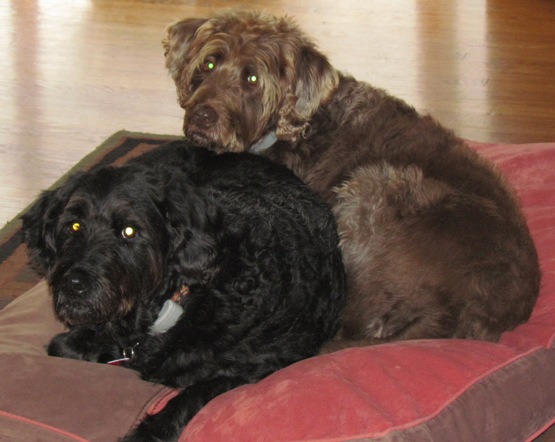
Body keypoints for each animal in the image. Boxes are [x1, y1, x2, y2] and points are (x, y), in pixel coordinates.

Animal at [22, 142, 348, 442]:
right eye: (74, 225)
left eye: (129, 231)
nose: (74, 284)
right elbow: (63, 346)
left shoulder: (260, 366)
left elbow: (191, 396)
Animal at [163, 8, 540, 350]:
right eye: (209, 64)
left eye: (252, 79)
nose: (202, 116)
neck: (291, 128)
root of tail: (455, 312)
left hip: (374, 186)